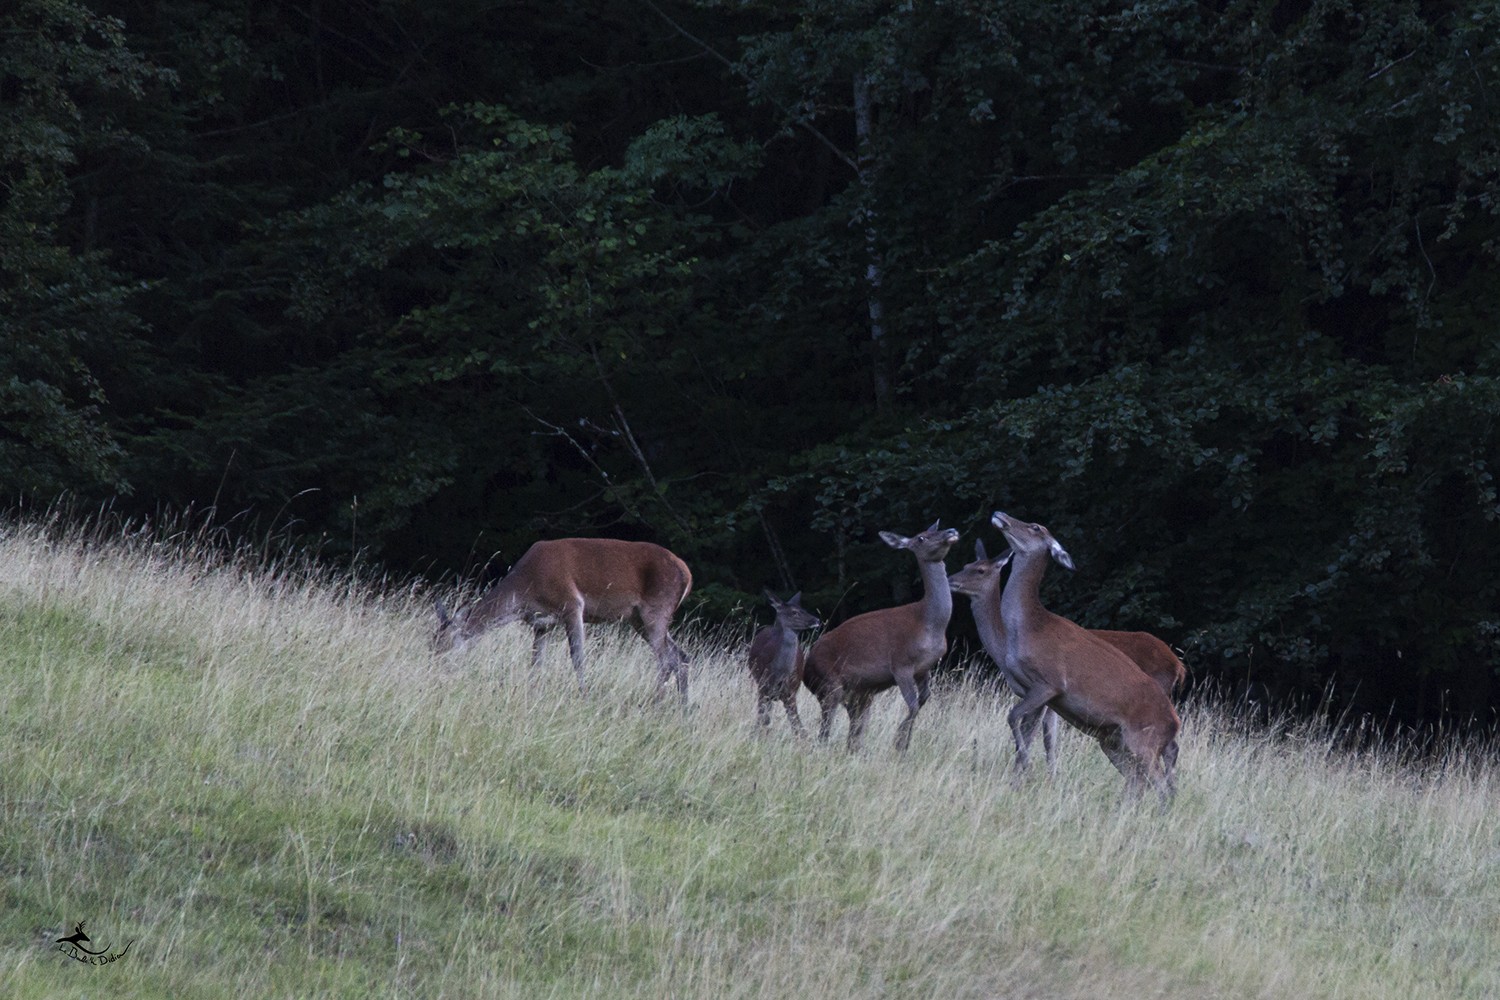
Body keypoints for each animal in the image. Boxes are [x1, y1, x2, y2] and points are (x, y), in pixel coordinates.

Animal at [432, 539, 693, 695]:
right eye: (431, 644)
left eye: (446, 645)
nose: (435, 670)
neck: (525, 590)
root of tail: (687, 574)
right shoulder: (541, 624)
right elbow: (536, 662)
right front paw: (533, 693)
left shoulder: (572, 604)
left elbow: (578, 657)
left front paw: (584, 695)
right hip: (638, 618)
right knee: (681, 656)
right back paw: (683, 712)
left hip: (656, 609)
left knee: (665, 660)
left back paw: (655, 704)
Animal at [747, 587, 822, 734]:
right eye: (794, 612)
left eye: (804, 609)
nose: (816, 620)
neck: (779, 673)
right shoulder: (763, 688)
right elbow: (761, 719)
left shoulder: (791, 692)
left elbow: (797, 725)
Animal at [804, 524, 954, 749]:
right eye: (921, 538)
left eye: (939, 528)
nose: (951, 531)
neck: (930, 625)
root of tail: (805, 668)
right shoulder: (901, 664)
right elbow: (913, 705)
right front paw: (899, 743)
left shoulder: (924, 668)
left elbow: (923, 700)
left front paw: (904, 744)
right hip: (829, 683)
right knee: (825, 728)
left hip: (860, 692)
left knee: (854, 725)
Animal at [948, 542, 1182, 779]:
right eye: (967, 565)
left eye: (980, 570)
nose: (950, 579)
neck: (1004, 646)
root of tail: (1179, 665)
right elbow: (1047, 737)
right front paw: (1049, 774)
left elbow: (1042, 737)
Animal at [990, 515, 1176, 803]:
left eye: (1035, 527)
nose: (1001, 515)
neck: (1028, 629)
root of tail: (1174, 723)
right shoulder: (1033, 692)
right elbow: (1026, 731)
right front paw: (1019, 778)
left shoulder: (1049, 682)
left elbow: (1013, 718)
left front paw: (1027, 770)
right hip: (1113, 740)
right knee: (1139, 780)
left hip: (1144, 740)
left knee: (1159, 785)